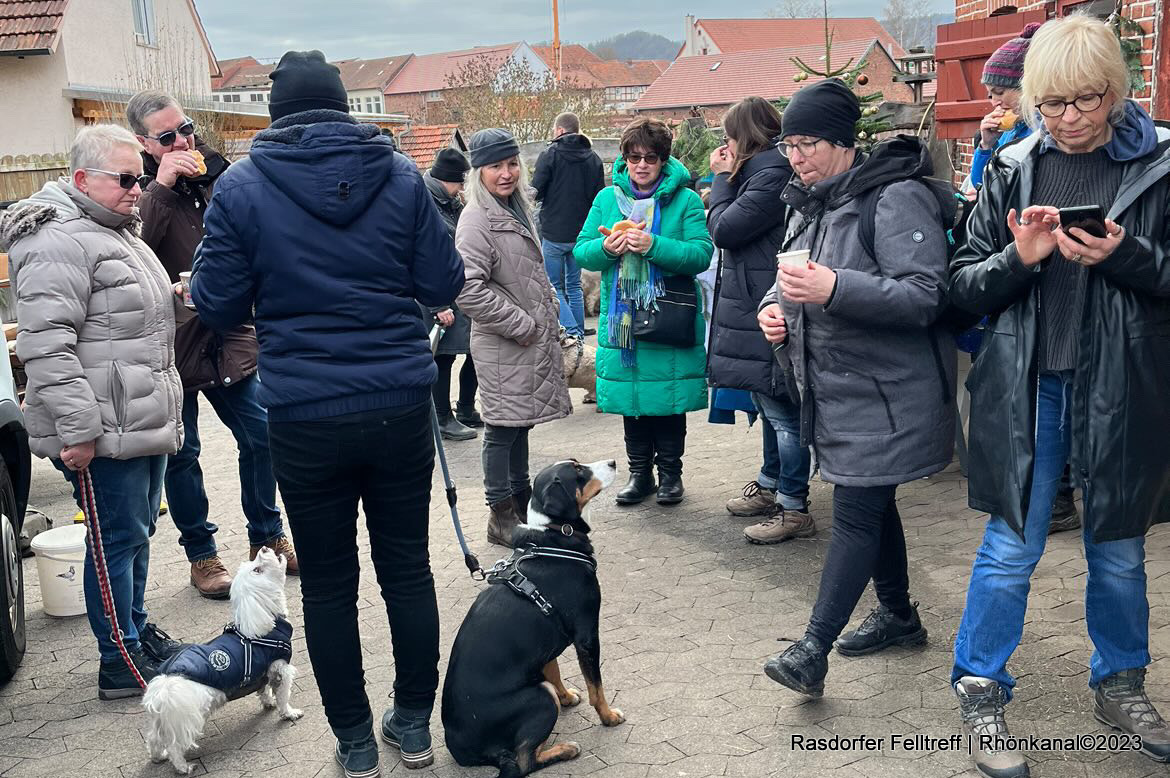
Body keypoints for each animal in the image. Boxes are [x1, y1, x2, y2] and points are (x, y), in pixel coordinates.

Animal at [142, 545, 301, 772]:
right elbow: (283, 695)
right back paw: (183, 767)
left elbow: (264, 689)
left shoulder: (261, 671)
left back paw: (158, 757)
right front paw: (288, 713)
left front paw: (268, 702)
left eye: (254, 564)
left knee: (154, 740)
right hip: (186, 718)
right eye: (257, 569)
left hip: (164, 720)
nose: (263, 547)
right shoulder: (281, 668)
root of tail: (164, 686)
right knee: (174, 745)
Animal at [439, 458, 622, 772]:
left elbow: (554, 670)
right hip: (540, 697)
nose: (612, 462)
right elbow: (596, 687)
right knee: (524, 761)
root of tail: (462, 750)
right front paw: (608, 717)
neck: (553, 540)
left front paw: (568, 697)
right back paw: (565, 749)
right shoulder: (587, 635)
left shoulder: (546, 641)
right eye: (578, 473)